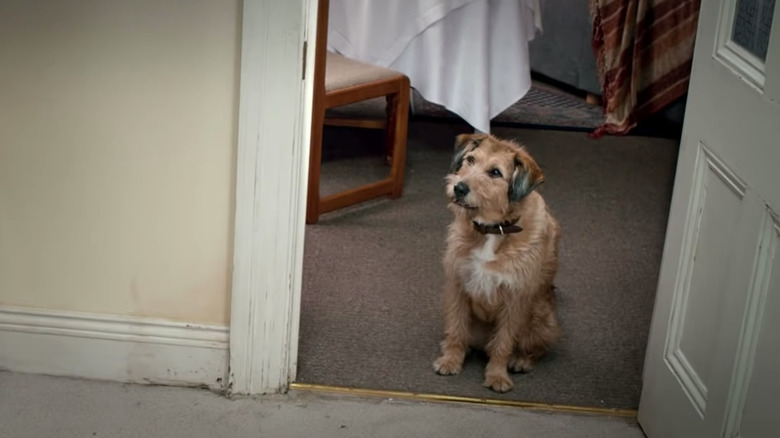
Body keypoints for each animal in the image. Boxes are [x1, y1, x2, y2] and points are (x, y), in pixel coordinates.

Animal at [432, 132, 560, 392]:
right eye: (470, 160)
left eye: (495, 172)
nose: (459, 187)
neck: (494, 229)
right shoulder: (457, 285)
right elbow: (456, 329)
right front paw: (451, 360)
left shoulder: (515, 298)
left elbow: (503, 342)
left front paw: (497, 375)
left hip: (543, 319)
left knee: (534, 348)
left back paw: (521, 359)